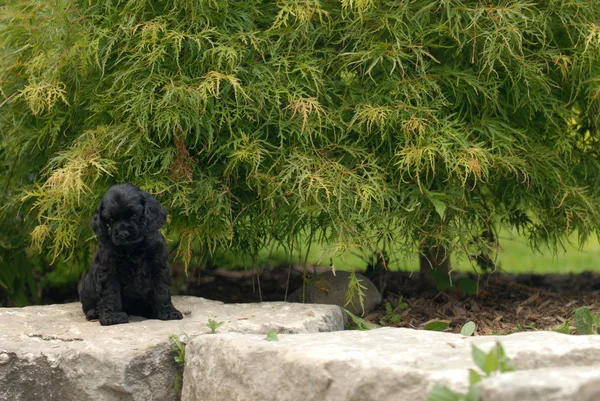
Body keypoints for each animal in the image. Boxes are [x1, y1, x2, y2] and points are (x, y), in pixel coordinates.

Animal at [79, 184, 183, 324]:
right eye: (111, 219)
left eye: (134, 215)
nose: (123, 234)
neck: (133, 247)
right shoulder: (108, 269)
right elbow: (110, 292)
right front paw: (113, 316)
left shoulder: (159, 266)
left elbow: (162, 290)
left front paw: (168, 312)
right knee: (87, 308)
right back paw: (94, 312)